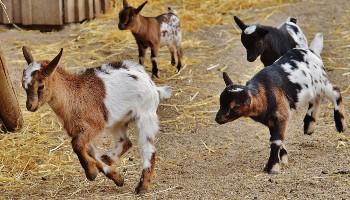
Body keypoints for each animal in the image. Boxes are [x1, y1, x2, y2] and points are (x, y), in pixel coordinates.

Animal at [21, 47, 172, 194]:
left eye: (41, 85)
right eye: (24, 86)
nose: (30, 106)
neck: (73, 96)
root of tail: (152, 85)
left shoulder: (94, 125)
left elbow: (77, 145)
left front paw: (91, 173)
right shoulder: (78, 130)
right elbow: (89, 151)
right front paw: (116, 177)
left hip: (146, 115)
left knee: (148, 149)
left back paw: (142, 187)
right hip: (118, 121)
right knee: (125, 142)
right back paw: (107, 159)